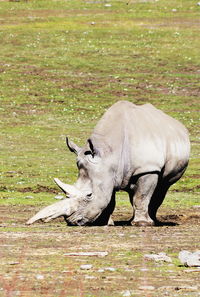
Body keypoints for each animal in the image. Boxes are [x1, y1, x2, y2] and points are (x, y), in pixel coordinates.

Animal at [27, 100, 191, 225]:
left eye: (89, 195)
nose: (72, 222)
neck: (108, 153)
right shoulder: (105, 172)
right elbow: (109, 198)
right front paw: (105, 222)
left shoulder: (148, 168)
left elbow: (142, 196)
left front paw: (141, 224)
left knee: (162, 186)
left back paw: (151, 221)